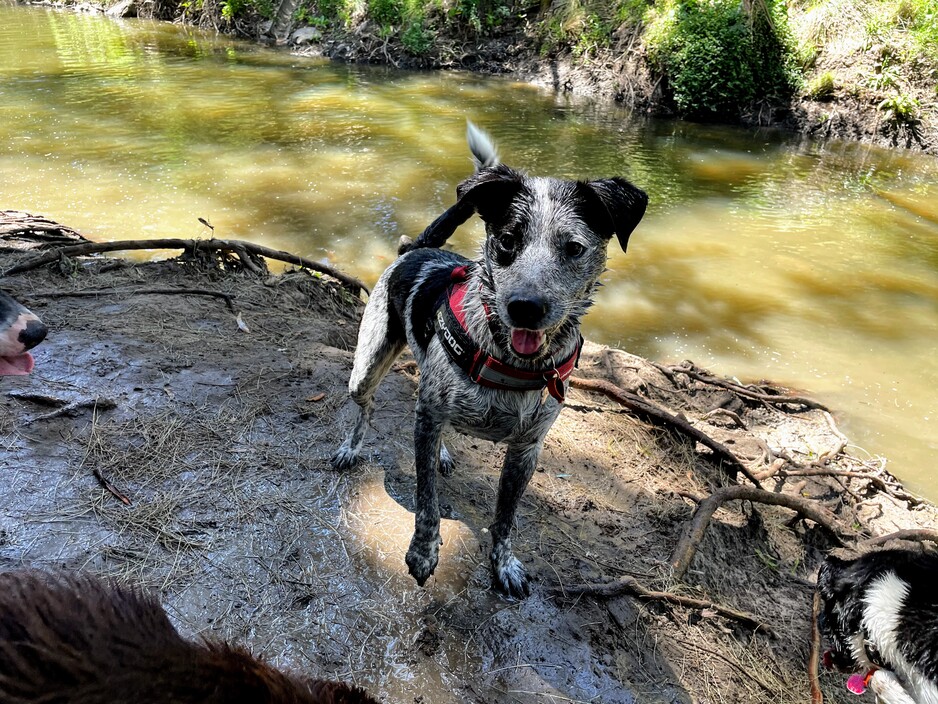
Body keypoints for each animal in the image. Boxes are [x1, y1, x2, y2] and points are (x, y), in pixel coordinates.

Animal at [332, 124, 648, 596]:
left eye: (573, 248)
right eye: (508, 241)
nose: (525, 307)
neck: (510, 361)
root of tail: (416, 249)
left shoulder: (526, 448)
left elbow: (505, 517)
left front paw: (504, 565)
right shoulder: (430, 414)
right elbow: (426, 500)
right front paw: (423, 552)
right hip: (367, 368)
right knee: (365, 407)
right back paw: (352, 448)